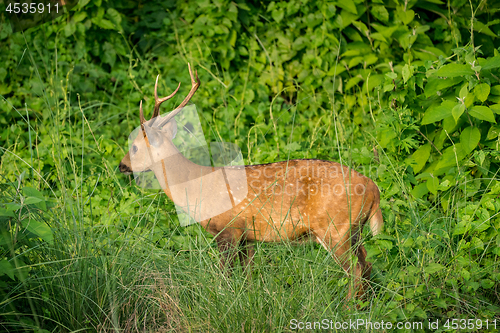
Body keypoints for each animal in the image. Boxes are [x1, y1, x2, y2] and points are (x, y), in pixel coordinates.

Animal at [119, 63, 384, 298]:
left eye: (134, 147)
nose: (122, 166)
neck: (195, 184)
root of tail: (374, 189)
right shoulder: (248, 236)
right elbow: (248, 275)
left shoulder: (228, 229)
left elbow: (224, 277)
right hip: (353, 229)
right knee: (368, 264)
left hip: (335, 228)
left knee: (356, 270)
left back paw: (348, 307)